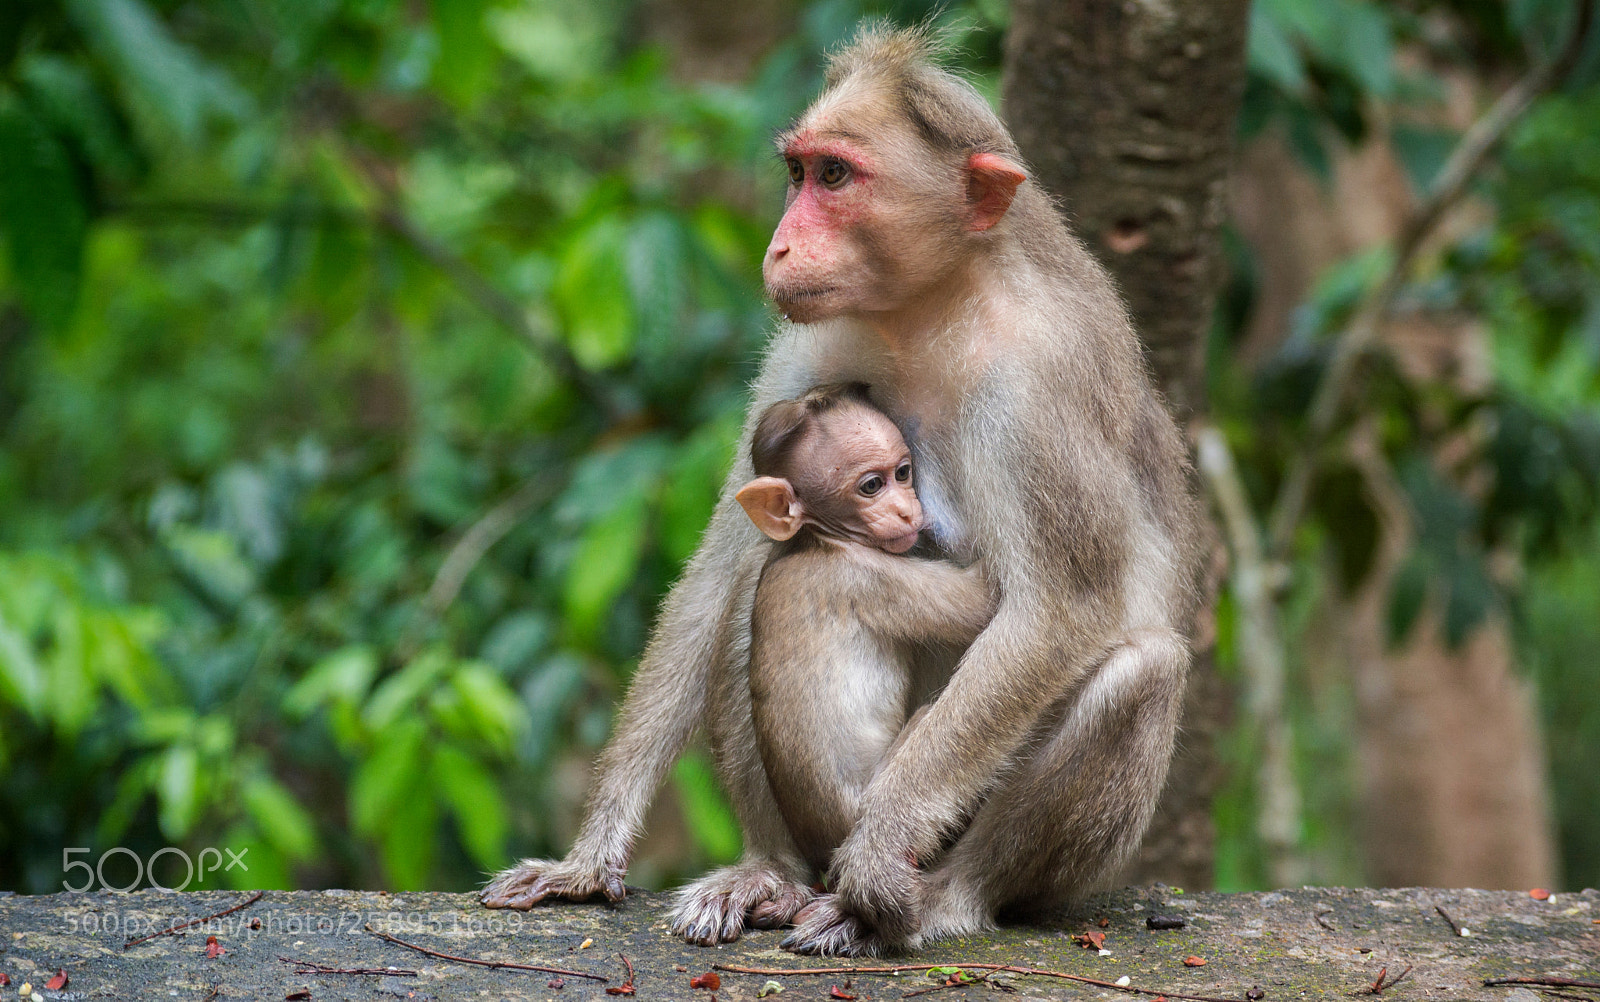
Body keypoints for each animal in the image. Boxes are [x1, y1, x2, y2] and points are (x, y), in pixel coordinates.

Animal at [734, 382, 996, 878]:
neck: (818, 538)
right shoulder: (869, 578)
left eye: (903, 473)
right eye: (871, 486)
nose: (907, 510)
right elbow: (984, 598)